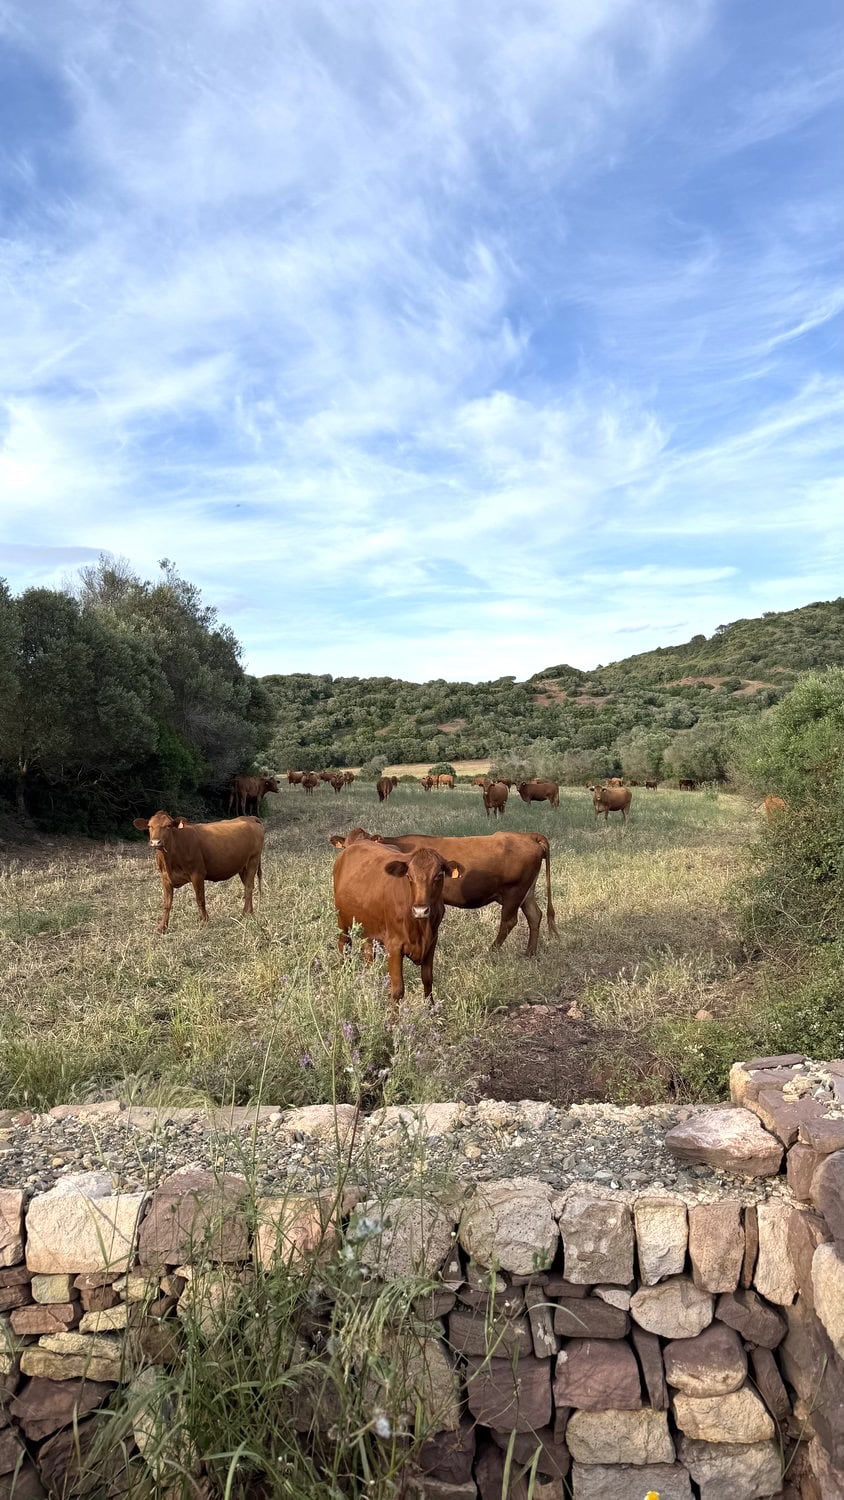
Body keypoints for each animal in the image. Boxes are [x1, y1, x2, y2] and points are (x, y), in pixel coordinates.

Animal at [133, 811, 264, 933]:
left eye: (168, 826)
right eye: (149, 826)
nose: (156, 842)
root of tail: (250, 818)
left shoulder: (197, 874)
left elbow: (200, 900)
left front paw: (204, 922)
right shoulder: (165, 877)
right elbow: (167, 903)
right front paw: (162, 927)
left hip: (253, 860)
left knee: (248, 887)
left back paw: (245, 914)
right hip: (243, 866)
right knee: (248, 886)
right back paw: (249, 913)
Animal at [329, 835, 462, 1008]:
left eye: (438, 875)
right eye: (409, 876)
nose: (420, 910)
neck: (421, 927)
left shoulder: (432, 941)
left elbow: (427, 979)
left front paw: (431, 1009)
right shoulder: (394, 946)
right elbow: (398, 990)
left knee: (368, 957)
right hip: (342, 922)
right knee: (344, 946)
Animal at [330, 828, 557, 957]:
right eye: (346, 845)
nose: (350, 857)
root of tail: (527, 836)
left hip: (513, 892)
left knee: (509, 921)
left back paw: (491, 952)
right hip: (526, 892)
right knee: (535, 915)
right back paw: (530, 953)